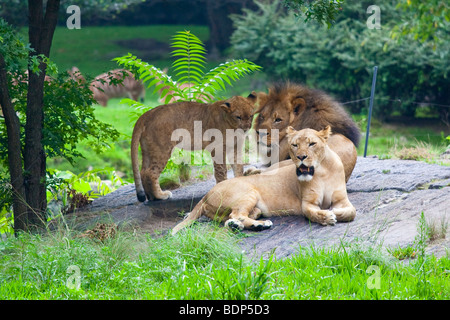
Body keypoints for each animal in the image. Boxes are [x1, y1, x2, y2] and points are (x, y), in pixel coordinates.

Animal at [171, 125, 356, 235]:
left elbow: (351, 212)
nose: (301, 157)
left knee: (233, 218)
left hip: (254, 208)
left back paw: (245, 225)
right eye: (294, 145)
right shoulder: (307, 203)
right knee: (237, 214)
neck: (322, 171)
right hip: (248, 193)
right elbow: (313, 213)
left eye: (312, 144)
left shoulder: (342, 200)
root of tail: (205, 195)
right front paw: (328, 217)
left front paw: (334, 212)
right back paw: (260, 225)